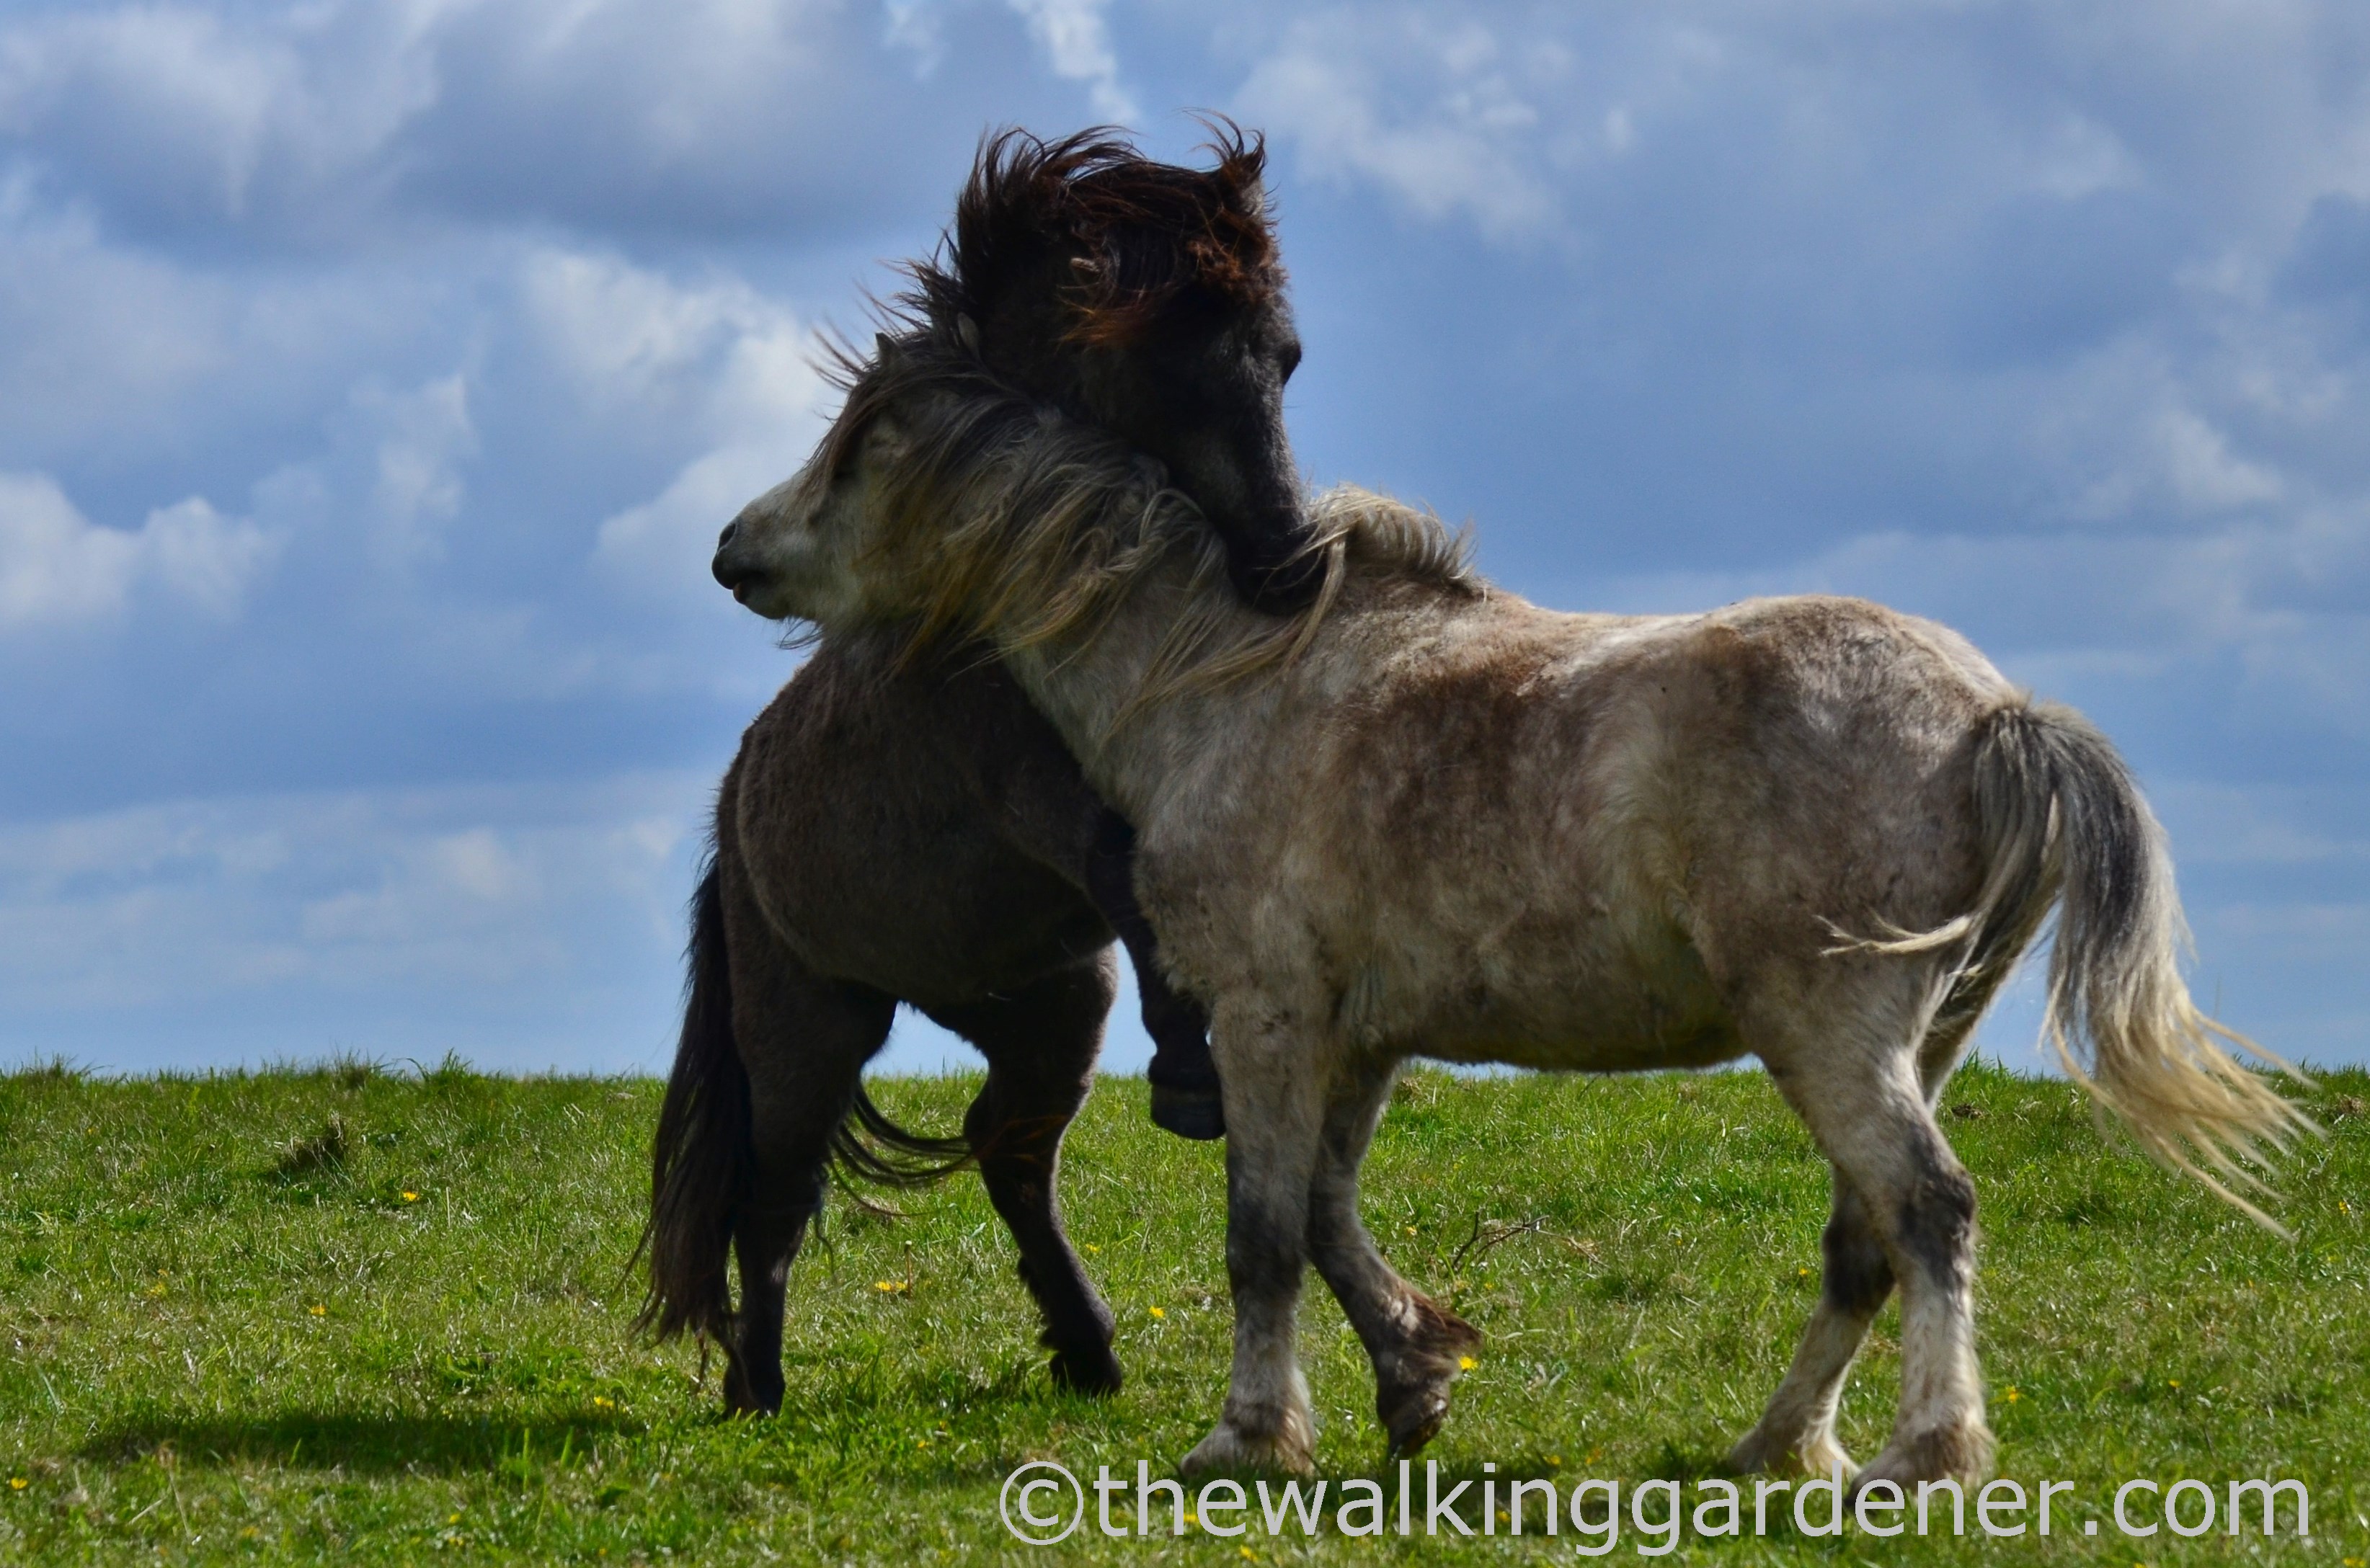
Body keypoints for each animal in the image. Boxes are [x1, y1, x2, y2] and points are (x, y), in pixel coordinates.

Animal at [645, 125, 1315, 1415]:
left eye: (1286, 359)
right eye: (1165, 363)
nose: (1290, 563)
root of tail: (732, 816)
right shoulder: (1028, 802)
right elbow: (1113, 854)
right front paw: (1193, 1069)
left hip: (1047, 1007)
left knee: (1008, 1151)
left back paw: (1088, 1344)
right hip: (807, 1025)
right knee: (775, 1201)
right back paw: (758, 1387)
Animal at [710, 328, 2314, 1490]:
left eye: (855, 452)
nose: (735, 548)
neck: (1230, 684)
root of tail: (1991, 712)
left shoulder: (1268, 1016)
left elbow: (1261, 1234)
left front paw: (1247, 1436)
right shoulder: (1357, 1040)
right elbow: (1325, 1212)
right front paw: (1408, 1379)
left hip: (1835, 1033)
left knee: (1926, 1209)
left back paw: (1922, 1454)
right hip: (1925, 1034)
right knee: (1865, 1239)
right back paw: (1773, 1446)